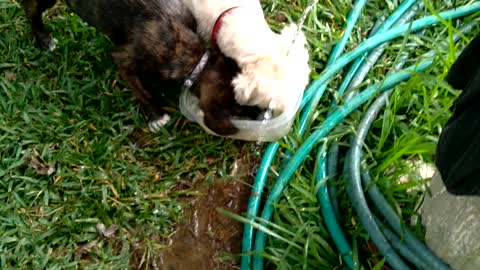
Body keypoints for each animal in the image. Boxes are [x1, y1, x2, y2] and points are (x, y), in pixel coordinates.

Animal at [21, 0, 262, 135]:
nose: (263, 115)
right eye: (240, 109)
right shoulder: (124, 60)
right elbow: (143, 91)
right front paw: (156, 116)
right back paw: (44, 39)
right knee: (31, 11)